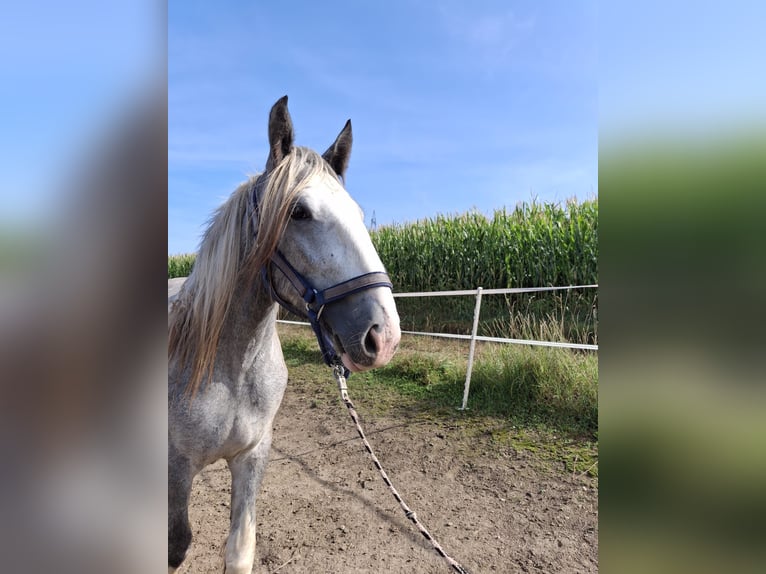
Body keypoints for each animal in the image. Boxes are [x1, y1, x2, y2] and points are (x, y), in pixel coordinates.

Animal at [168, 96, 401, 573]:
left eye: (357, 213)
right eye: (299, 212)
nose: (383, 336)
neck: (226, 367)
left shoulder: (252, 456)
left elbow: (240, 549)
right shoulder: (172, 472)